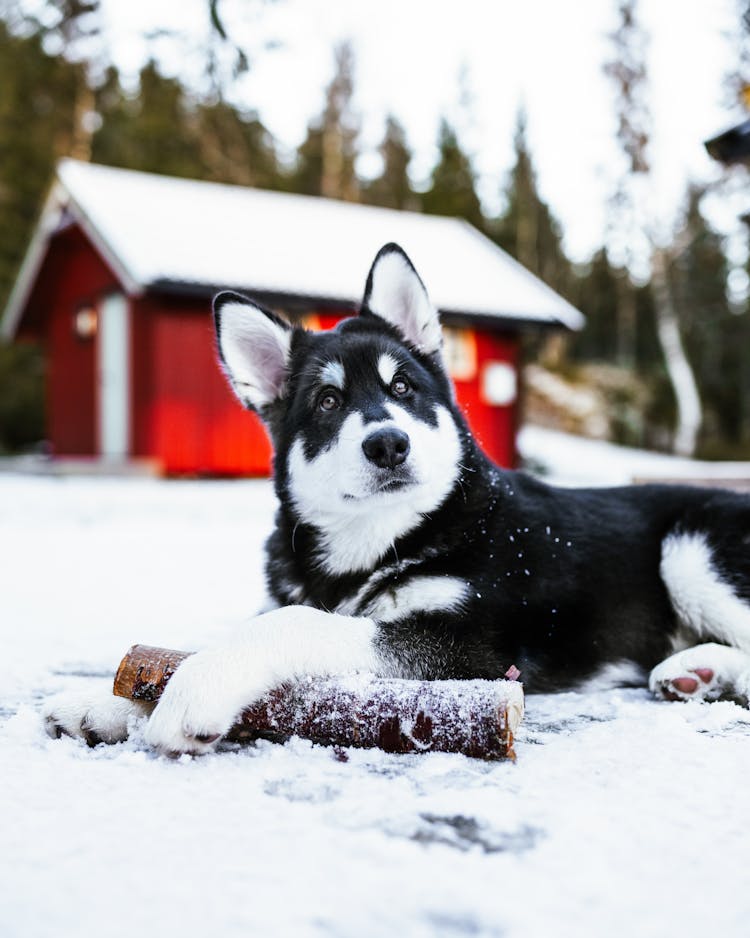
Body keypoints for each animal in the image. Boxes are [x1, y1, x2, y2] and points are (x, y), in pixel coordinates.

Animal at [44, 243, 750, 752]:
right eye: (328, 401)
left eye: (404, 387)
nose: (388, 443)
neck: (382, 541)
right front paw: (105, 703)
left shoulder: (471, 648)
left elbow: (296, 623)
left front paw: (196, 690)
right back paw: (696, 671)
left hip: (693, 549)